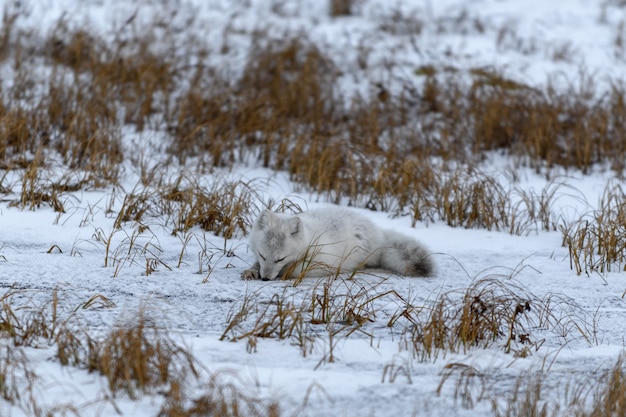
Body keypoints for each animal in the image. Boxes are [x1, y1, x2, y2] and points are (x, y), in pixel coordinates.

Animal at [241, 207, 432, 282]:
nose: (265, 279)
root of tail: (379, 231)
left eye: (280, 259)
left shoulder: (323, 263)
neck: (308, 241)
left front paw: (282, 273)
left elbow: (294, 270)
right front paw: (252, 271)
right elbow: (256, 265)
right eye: (262, 255)